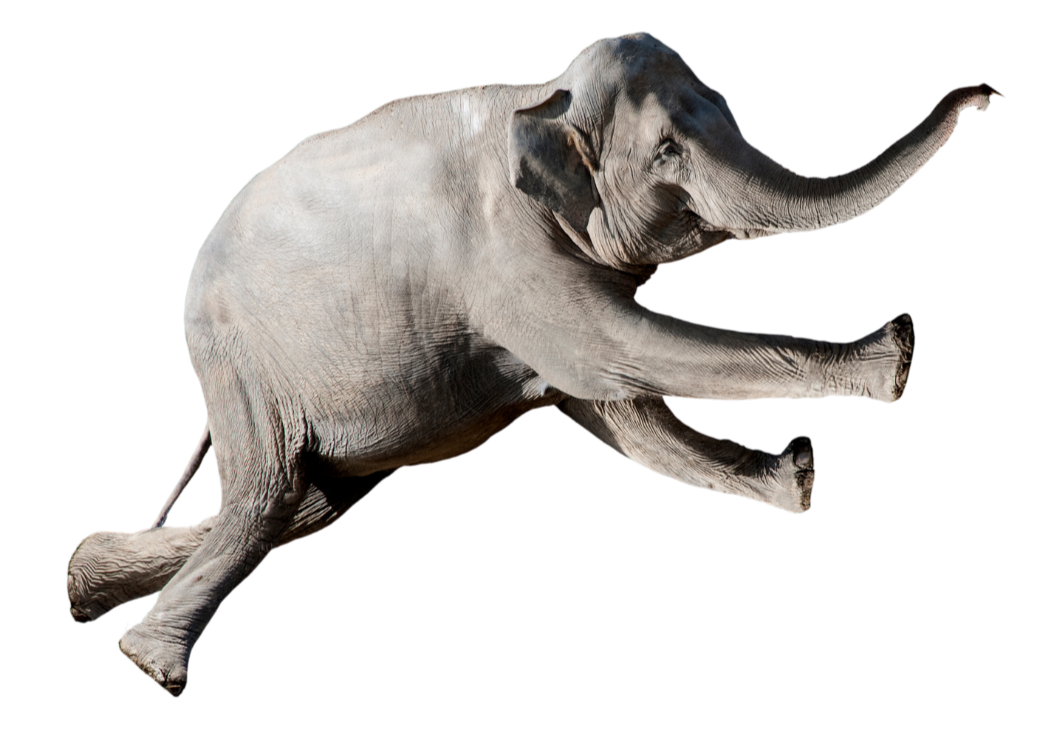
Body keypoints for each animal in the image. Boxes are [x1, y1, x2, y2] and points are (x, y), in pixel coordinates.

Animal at [66, 30, 1003, 696]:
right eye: (667, 151)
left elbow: (622, 414)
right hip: (238, 353)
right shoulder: (502, 258)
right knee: (268, 494)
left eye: (728, 106)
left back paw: (86, 582)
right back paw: (152, 666)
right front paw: (894, 359)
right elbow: (621, 356)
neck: (540, 99)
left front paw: (799, 477)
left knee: (310, 503)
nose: (988, 98)